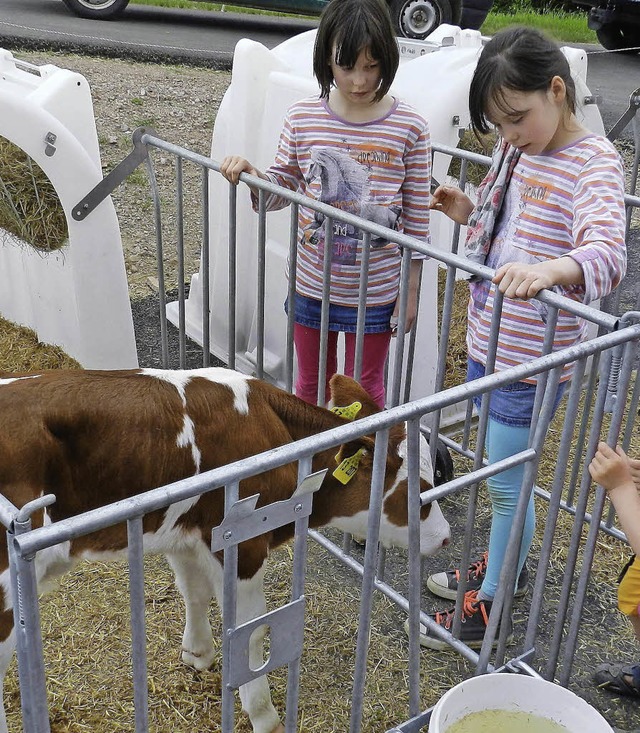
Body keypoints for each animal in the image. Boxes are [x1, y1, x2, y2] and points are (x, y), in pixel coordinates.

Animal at [0, 368, 450, 732]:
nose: (445, 537)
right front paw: (265, 715)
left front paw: (198, 653)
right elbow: (250, 632)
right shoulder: (245, 542)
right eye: (421, 491)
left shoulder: (185, 533)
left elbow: (194, 593)